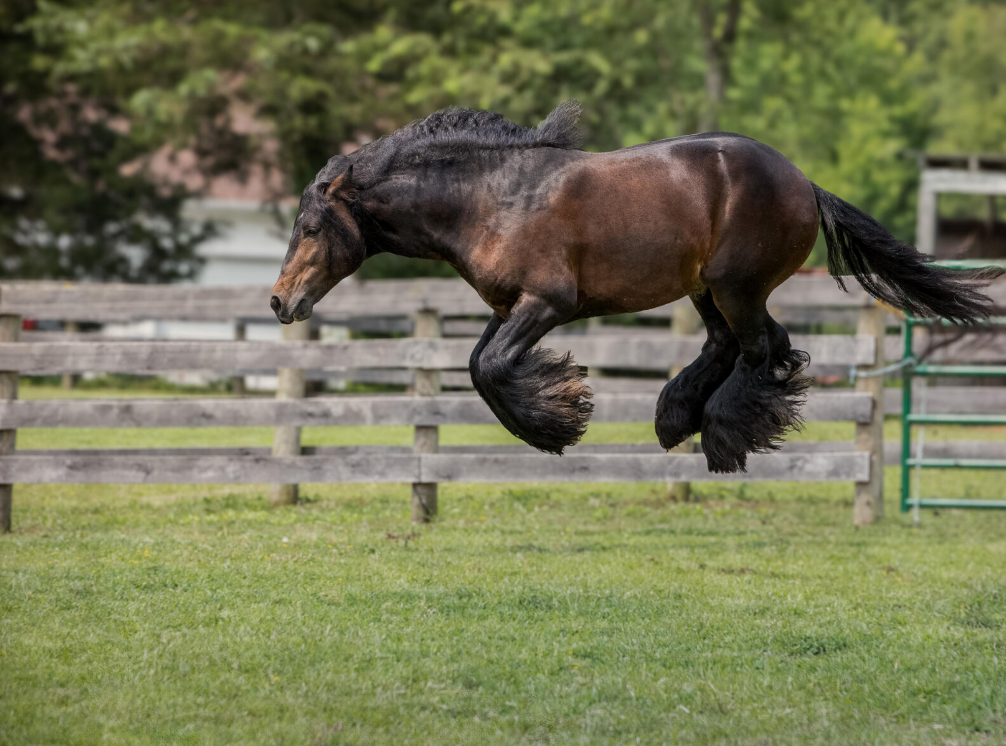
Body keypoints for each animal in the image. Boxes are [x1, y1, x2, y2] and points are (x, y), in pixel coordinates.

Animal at [271, 101, 1001, 472]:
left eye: (310, 226)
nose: (281, 301)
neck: (490, 198)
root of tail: (805, 183)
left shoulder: (547, 303)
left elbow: (492, 369)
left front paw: (557, 422)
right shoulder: (508, 306)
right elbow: (481, 365)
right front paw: (557, 411)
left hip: (736, 285)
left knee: (758, 350)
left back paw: (722, 436)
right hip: (710, 289)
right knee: (750, 348)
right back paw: (679, 418)